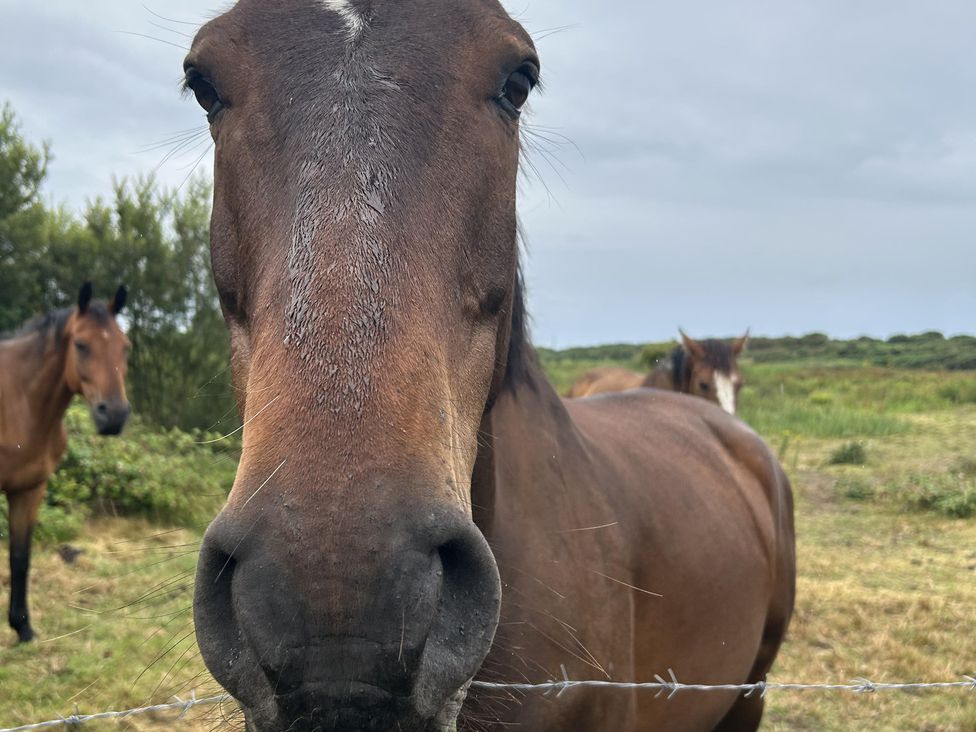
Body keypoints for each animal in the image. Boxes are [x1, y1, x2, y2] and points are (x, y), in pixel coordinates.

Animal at [0, 283, 130, 643]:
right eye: (81, 344)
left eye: (125, 347)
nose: (114, 415)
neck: (19, 403)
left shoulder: (29, 490)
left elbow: (20, 557)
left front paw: (23, 627)